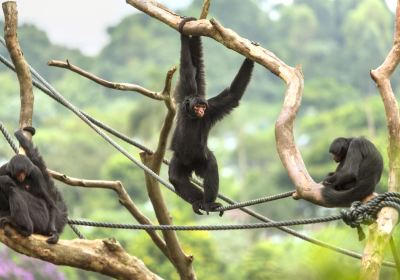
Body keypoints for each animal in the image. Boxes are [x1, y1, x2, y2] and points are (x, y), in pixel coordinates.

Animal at [168, 17, 255, 214]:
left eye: (203, 106)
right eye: (197, 105)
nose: (201, 110)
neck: (192, 116)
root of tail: (192, 165)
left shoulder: (211, 109)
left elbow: (232, 96)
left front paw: (250, 56)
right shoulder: (186, 95)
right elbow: (187, 68)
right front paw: (184, 33)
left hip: (201, 157)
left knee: (211, 166)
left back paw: (208, 202)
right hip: (180, 159)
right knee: (176, 177)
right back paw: (197, 201)